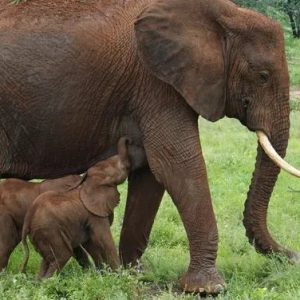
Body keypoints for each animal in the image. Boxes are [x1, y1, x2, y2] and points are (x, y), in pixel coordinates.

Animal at [21, 137, 132, 278]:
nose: (128, 139)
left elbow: (90, 242)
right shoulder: (94, 215)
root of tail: (27, 222)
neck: (86, 183)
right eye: (120, 168)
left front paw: (100, 274)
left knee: (47, 260)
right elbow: (103, 239)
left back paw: (38, 281)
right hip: (48, 230)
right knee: (61, 256)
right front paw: (120, 276)